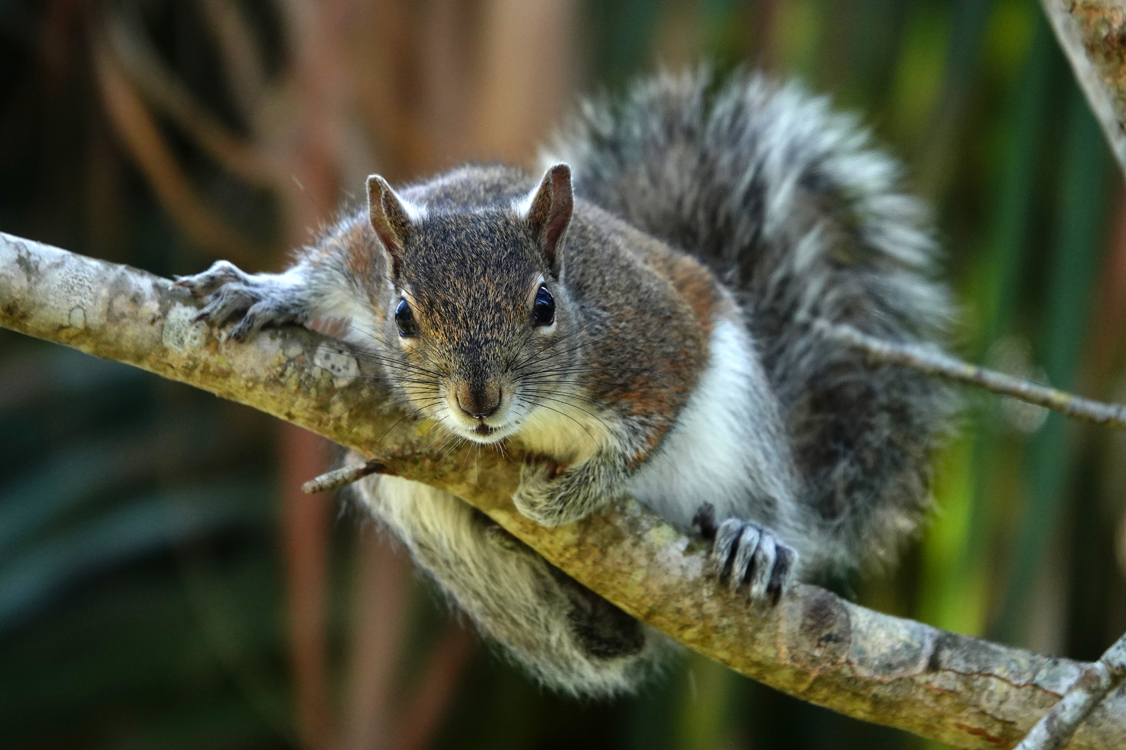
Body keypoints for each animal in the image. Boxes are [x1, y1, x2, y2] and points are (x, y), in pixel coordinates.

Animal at [173, 68, 950, 693]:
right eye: (401, 315)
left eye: (544, 305)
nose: (478, 403)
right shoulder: (368, 258)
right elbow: (327, 264)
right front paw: (266, 292)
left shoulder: (651, 345)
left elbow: (647, 426)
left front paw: (568, 494)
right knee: (605, 640)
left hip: (739, 424)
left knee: (762, 504)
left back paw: (749, 537)